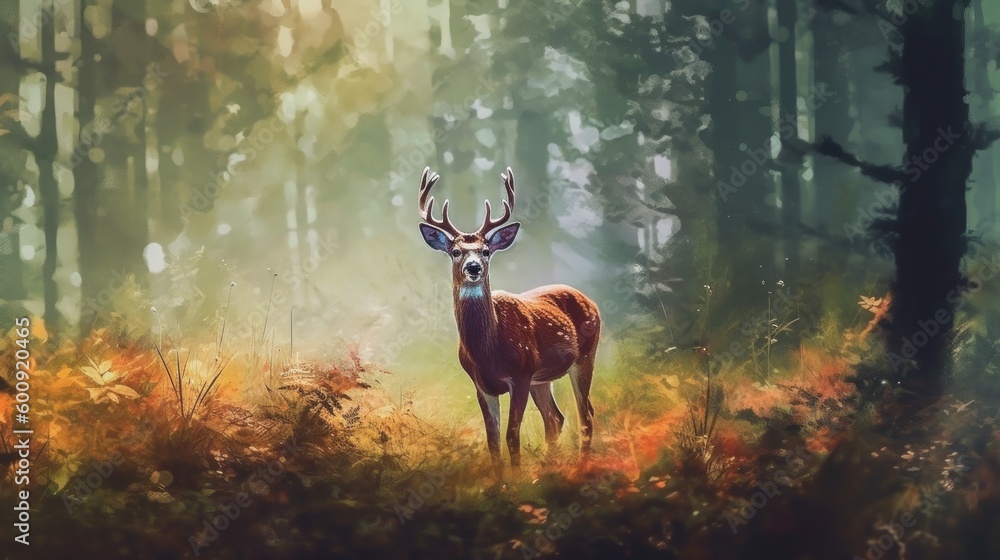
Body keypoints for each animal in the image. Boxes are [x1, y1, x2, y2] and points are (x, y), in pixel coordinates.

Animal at [416, 166, 601, 474]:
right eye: (456, 252)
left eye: (486, 251)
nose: (474, 267)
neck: (488, 350)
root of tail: (591, 301)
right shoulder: (481, 384)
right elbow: (492, 440)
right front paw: (501, 480)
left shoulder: (521, 374)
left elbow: (511, 436)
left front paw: (517, 478)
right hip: (543, 379)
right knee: (556, 419)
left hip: (584, 357)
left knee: (584, 415)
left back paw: (581, 466)